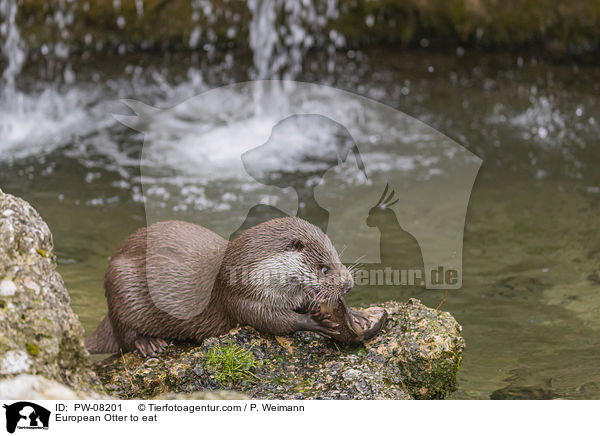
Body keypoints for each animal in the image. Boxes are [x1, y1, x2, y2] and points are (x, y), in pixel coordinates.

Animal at [84, 216, 356, 356]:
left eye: (337, 258)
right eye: (324, 268)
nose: (348, 284)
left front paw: (356, 314)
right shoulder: (240, 296)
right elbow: (272, 321)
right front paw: (315, 322)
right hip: (122, 286)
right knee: (124, 335)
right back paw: (148, 343)